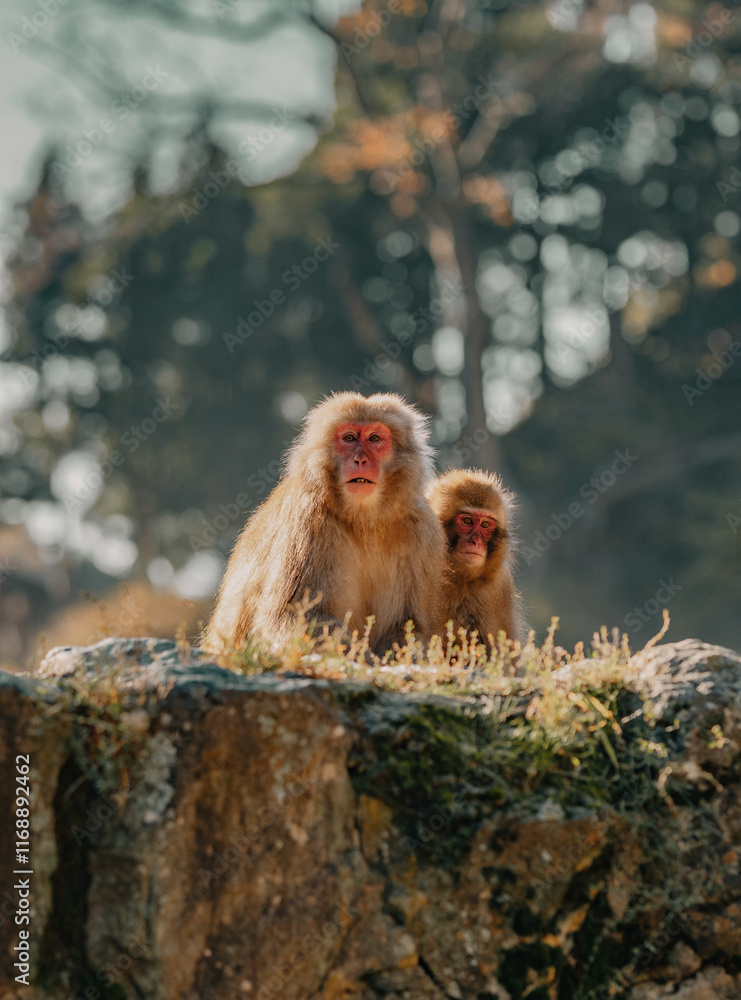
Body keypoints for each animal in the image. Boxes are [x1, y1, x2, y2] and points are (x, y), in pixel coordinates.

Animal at [203, 392, 447, 656]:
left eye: (374, 438)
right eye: (349, 438)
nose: (360, 460)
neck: (364, 519)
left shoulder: (423, 529)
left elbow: (411, 626)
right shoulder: (307, 519)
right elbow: (291, 615)